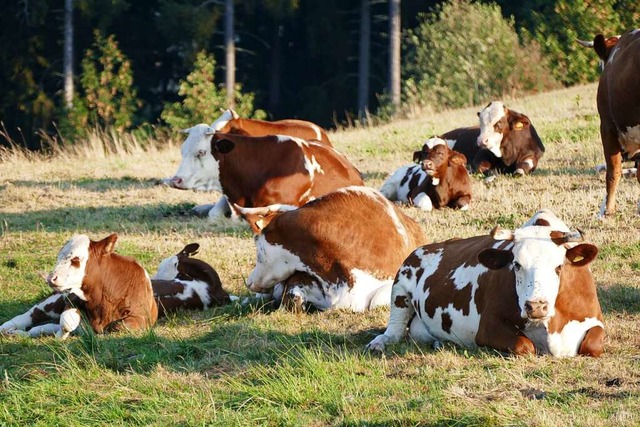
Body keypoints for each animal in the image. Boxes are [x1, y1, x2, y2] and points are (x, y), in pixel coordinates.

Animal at [364, 211, 604, 358]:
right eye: (516, 265)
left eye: (559, 267)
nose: (536, 306)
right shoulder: (487, 327)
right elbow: (525, 345)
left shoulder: (595, 319)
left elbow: (592, 345)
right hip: (401, 283)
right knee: (394, 330)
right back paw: (379, 343)